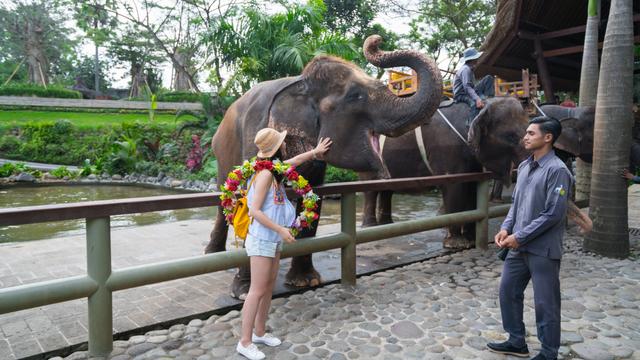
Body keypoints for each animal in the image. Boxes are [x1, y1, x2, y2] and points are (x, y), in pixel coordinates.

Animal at [204, 35, 440, 298]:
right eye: (355, 95)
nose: (376, 40)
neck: (300, 83)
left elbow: (314, 194)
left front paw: (306, 281)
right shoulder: (255, 132)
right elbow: (249, 197)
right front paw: (244, 291)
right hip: (221, 153)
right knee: (222, 198)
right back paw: (213, 253)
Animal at [360, 95, 528, 249]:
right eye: (511, 137)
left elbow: (472, 188)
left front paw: (471, 241)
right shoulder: (447, 149)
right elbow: (454, 187)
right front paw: (456, 244)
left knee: (387, 190)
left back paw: (386, 224)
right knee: (371, 189)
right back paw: (371, 226)